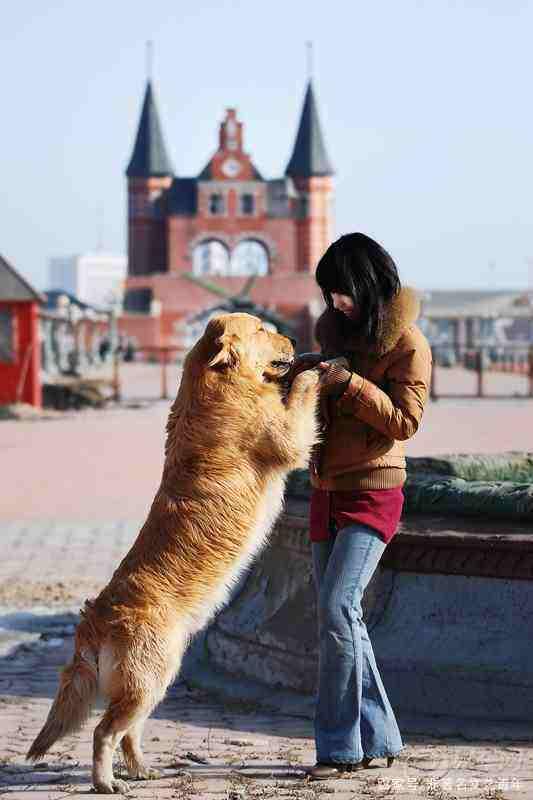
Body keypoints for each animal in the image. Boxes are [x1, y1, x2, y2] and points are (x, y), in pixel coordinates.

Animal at [28, 312, 320, 792]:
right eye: (261, 328)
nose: (296, 339)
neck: (215, 380)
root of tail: (93, 623)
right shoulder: (286, 436)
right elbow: (299, 397)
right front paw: (316, 369)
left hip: (153, 684)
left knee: (128, 733)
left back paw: (141, 770)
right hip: (148, 680)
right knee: (104, 732)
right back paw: (106, 782)